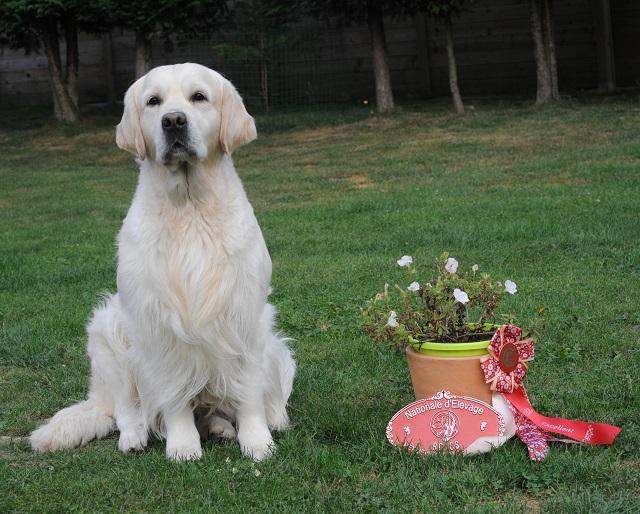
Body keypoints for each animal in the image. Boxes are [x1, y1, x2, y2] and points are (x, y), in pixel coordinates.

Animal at [31, 63, 296, 460]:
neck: (189, 207)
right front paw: (183, 446)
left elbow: (247, 392)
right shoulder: (157, 324)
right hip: (109, 331)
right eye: (153, 101)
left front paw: (257, 441)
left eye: (198, 97)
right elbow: (173, 398)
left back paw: (228, 425)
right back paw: (135, 437)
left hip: (277, 349)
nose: (173, 121)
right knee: (126, 408)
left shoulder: (243, 315)